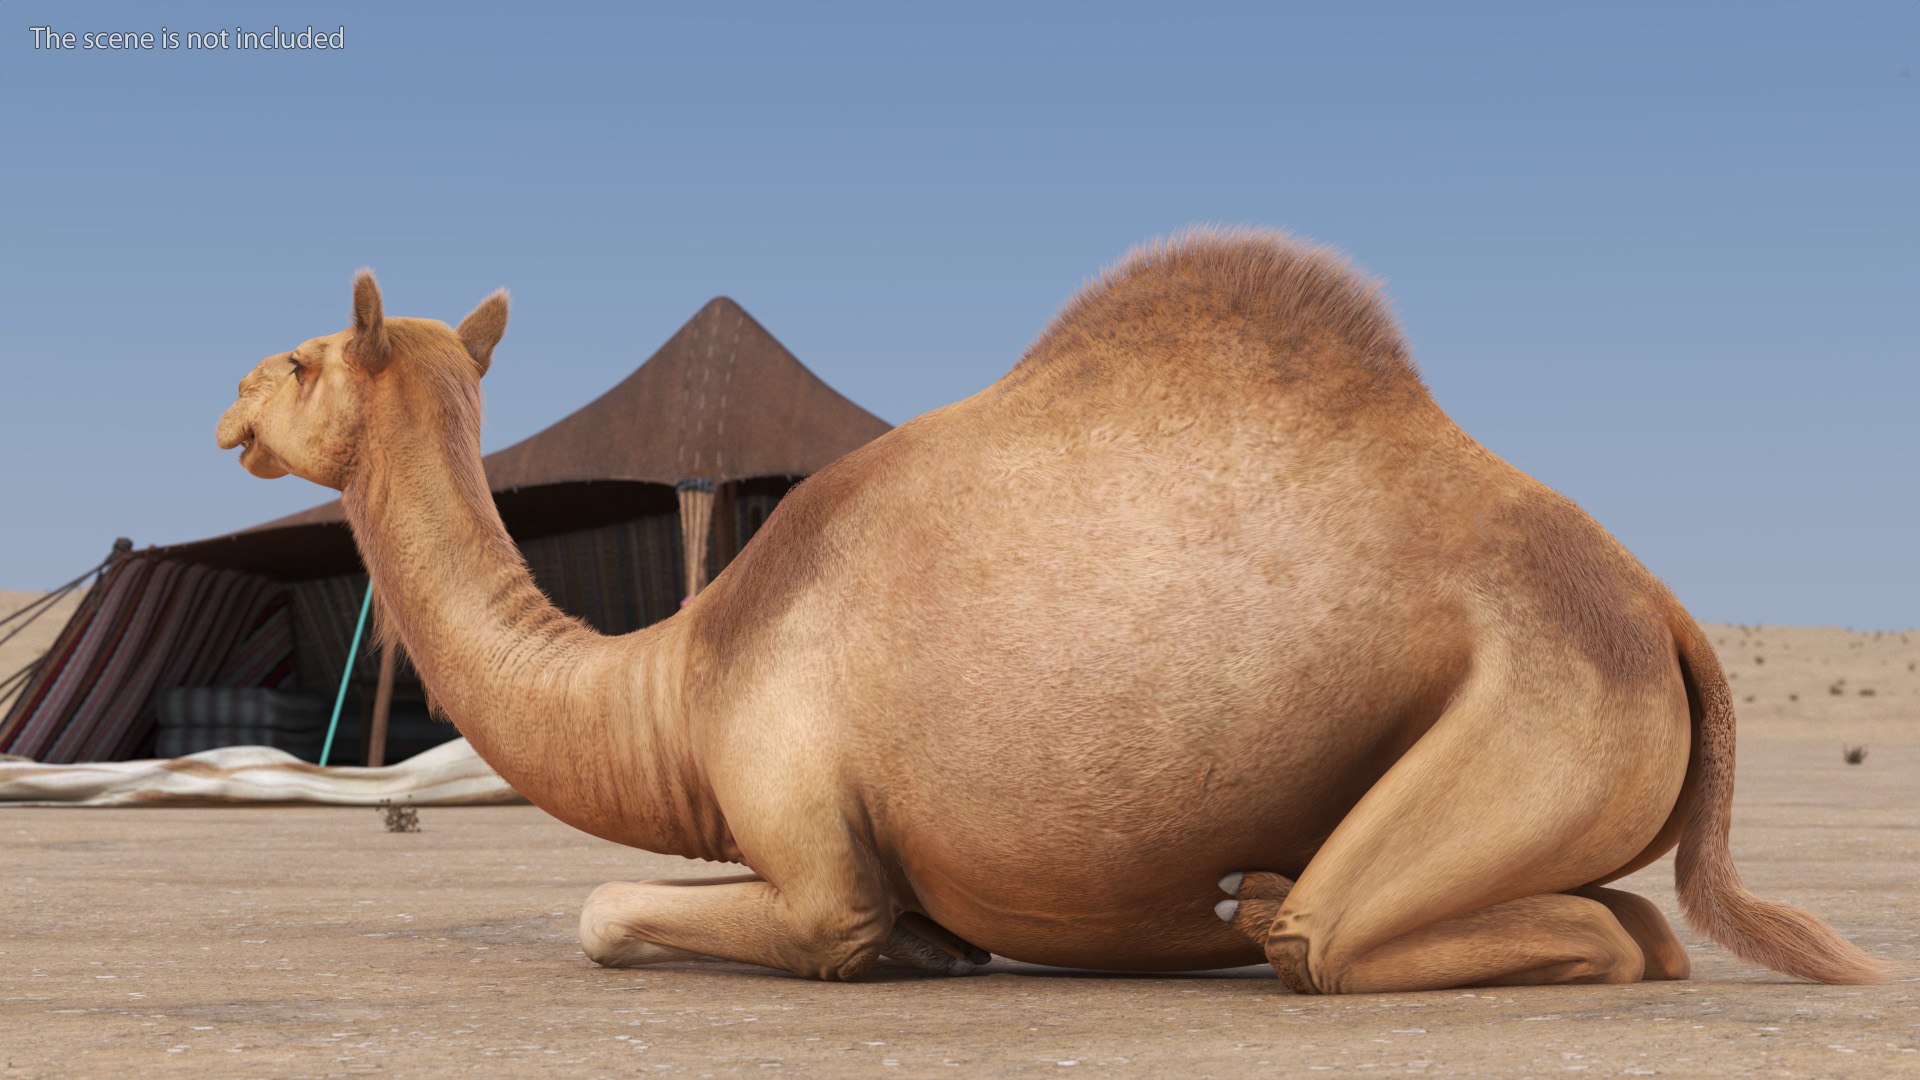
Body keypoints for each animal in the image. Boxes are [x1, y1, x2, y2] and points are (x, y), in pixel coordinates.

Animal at [214, 229, 1885, 993]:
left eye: (299, 356)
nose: (226, 403)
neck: (683, 676)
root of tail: (1662, 610)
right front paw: (938, 950)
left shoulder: (803, 825)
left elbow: (623, 913)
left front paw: (896, 954)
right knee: (1643, 931)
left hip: (1546, 699)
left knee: (1345, 938)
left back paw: (1265, 904)